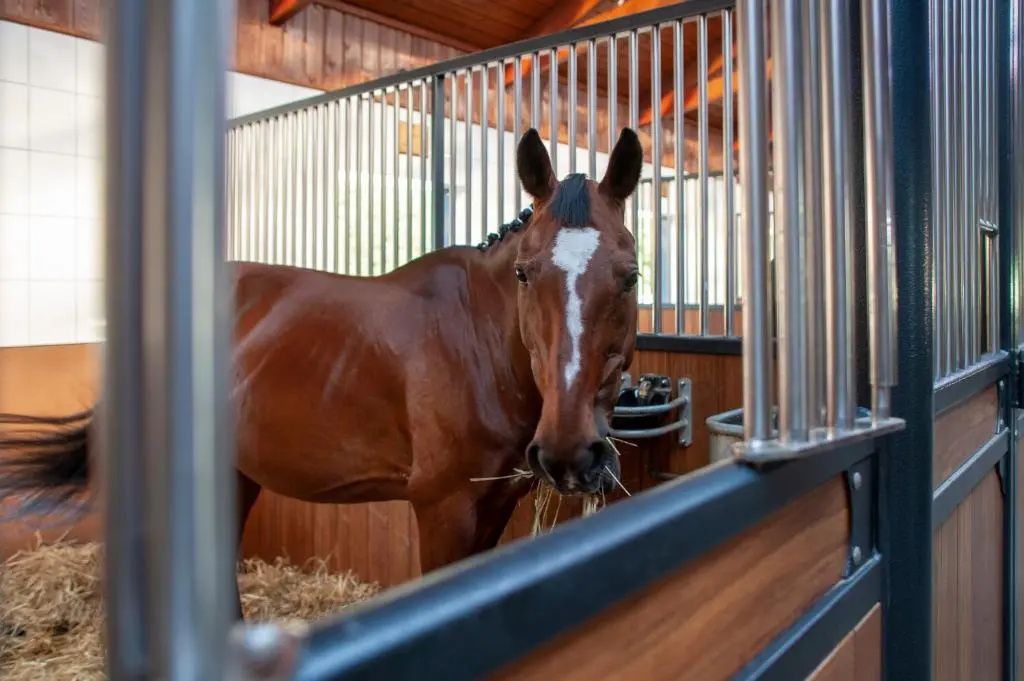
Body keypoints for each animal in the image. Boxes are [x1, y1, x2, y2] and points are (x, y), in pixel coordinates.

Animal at [0, 126, 644, 616]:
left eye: (630, 274)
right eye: (523, 273)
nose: (569, 453)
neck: (480, 343)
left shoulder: (493, 505)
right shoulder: (444, 510)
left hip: (233, 472)